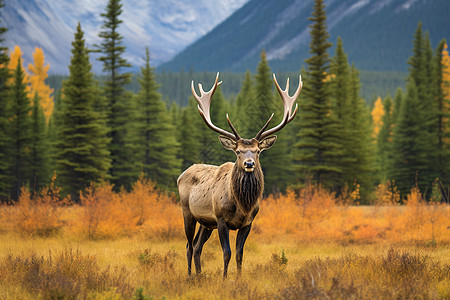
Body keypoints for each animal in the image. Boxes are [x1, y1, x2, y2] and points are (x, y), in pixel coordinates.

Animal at [177, 72, 302, 276]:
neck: (242, 205)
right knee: (188, 245)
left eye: (258, 151)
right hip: (188, 212)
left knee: (196, 246)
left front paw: (238, 278)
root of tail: (181, 175)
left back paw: (199, 275)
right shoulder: (221, 219)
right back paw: (189, 276)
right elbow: (226, 253)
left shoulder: (248, 223)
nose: (249, 163)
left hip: (206, 223)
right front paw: (224, 278)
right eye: (238, 152)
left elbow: (239, 254)